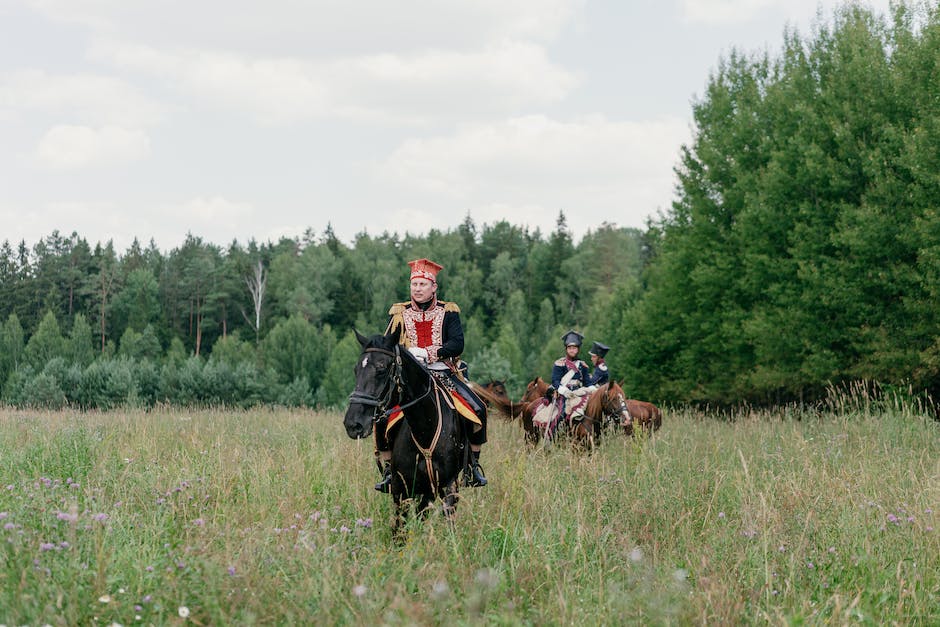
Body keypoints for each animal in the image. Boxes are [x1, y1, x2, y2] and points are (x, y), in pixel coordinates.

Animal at [344, 328, 468, 536]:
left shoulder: (449, 486)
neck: (425, 429)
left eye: (382, 368)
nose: (353, 424)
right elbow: (399, 530)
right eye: (355, 370)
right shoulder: (400, 489)